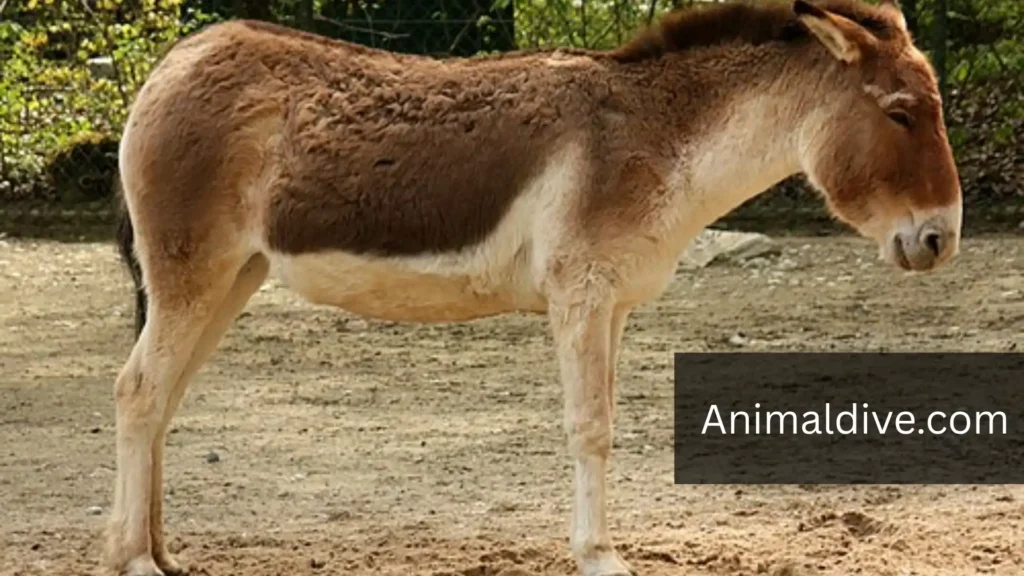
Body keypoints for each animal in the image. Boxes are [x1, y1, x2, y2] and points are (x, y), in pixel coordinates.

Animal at [106, 1, 962, 574]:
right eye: (901, 113)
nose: (941, 239)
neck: (660, 138)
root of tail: (173, 63)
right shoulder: (579, 295)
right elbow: (590, 428)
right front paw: (599, 556)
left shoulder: (613, 303)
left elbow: (605, 425)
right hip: (192, 271)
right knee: (139, 391)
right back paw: (134, 559)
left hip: (232, 277)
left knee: (163, 398)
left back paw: (161, 549)